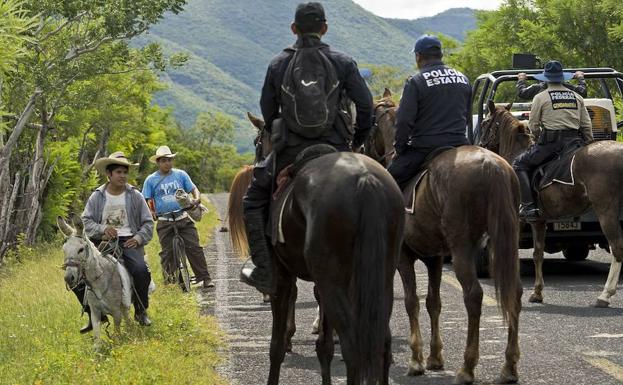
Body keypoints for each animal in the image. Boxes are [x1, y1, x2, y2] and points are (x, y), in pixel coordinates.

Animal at [229, 115, 404, 384]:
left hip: (333, 283)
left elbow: (276, 345)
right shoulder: (323, 284)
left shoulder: (283, 279)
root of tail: (365, 180)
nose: (257, 162)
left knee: (354, 348)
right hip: (380, 280)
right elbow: (324, 347)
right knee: (381, 342)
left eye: (257, 142)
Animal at [368, 91, 524, 384]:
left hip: (463, 249)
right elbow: (433, 302)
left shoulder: (403, 257)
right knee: (516, 293)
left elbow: (412, 302)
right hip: (505, 245)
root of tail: (492, 166)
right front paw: (434, 357)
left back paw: (467, 368)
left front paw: (417, 360)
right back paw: (509, 366)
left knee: (473, 295)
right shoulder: (435, 259)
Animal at [482, 100, 623, 306]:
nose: (480, 145)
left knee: (617, 248)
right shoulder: (539, 221)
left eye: (484, 122)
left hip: (607, 212)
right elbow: (537, 253)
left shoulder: (517, 220)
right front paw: (537, 292)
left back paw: (605, 295)